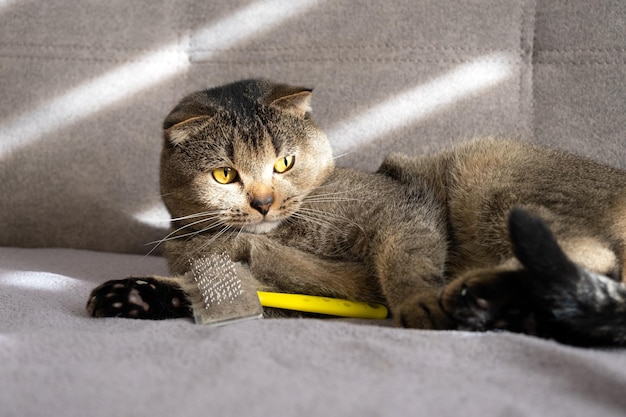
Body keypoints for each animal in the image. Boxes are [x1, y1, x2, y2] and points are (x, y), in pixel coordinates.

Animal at [86, 79, 624, 346]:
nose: (262, 203)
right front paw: (135, 294)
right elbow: (232, 290)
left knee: (588, 259)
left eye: (284, 163)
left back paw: (477, 297)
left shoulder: (401, 209)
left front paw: (418, 302)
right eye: (224, 175)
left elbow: (405, 261)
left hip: (491, 176)